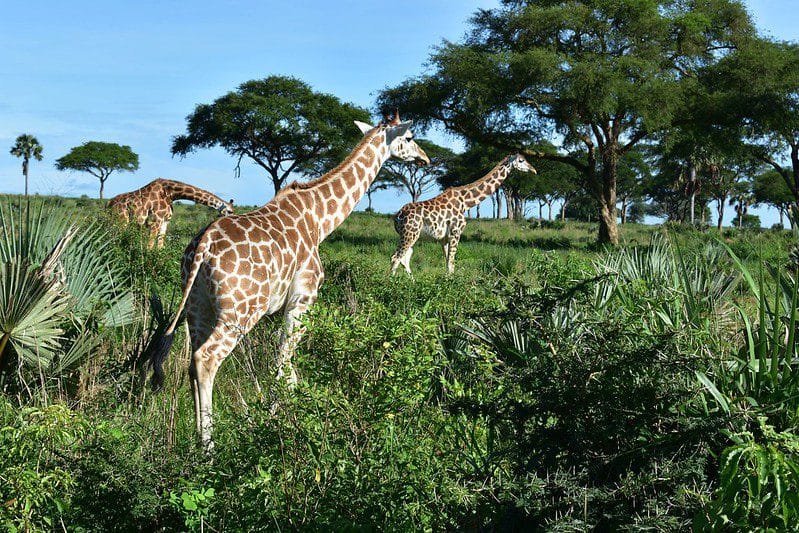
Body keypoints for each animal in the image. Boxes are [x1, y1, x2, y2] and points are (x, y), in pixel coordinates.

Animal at [147, 112, 429, 447]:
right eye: (410, 137)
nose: (425, 159)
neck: (321, 220)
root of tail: (202, 246)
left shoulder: (280, 308)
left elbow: (287, 366)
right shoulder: (303, 299)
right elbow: (283, 361)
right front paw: (277, 421)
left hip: (197, 307)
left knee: (191, 361)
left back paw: (195, 439)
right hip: (240, 311)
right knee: (206, 359)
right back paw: (208, 447)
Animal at [391, 154, 536, 275]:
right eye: (521, 160)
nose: (533, 170)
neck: (465, 202)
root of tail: (397, 217)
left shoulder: (444, 237)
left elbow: (447, 262)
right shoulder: (456, 232)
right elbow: (451, 263)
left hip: (408, 236)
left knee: (404, 258)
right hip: (410, 234)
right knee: (396, 257)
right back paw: (392, 284)